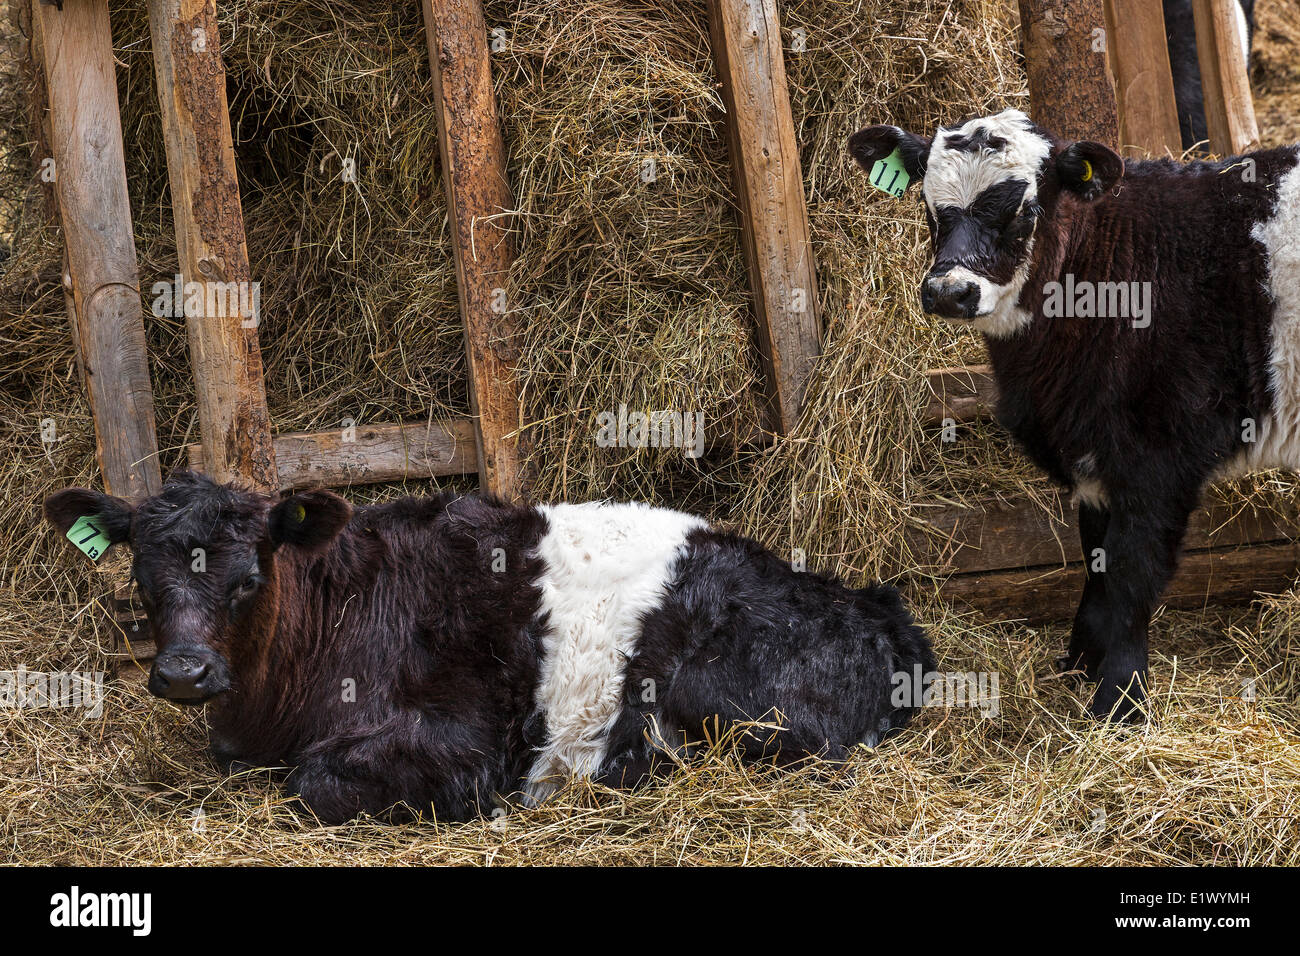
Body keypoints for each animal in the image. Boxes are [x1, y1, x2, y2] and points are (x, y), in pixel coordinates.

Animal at [43, 476, 935, 827]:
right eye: (142, 578)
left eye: (248, 579)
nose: (183, 671)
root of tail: (874, 605)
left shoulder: (462, 741)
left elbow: (314, 783)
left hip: (729, 705)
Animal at [847, 106, 1300, 717]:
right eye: (929, 206)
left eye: (1025, 210)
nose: (949, 291)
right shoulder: (1094, 455)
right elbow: (1095, 559)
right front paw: (1081, 661)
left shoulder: (1158, 457)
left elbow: (1131, 570)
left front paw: (1119, 698)